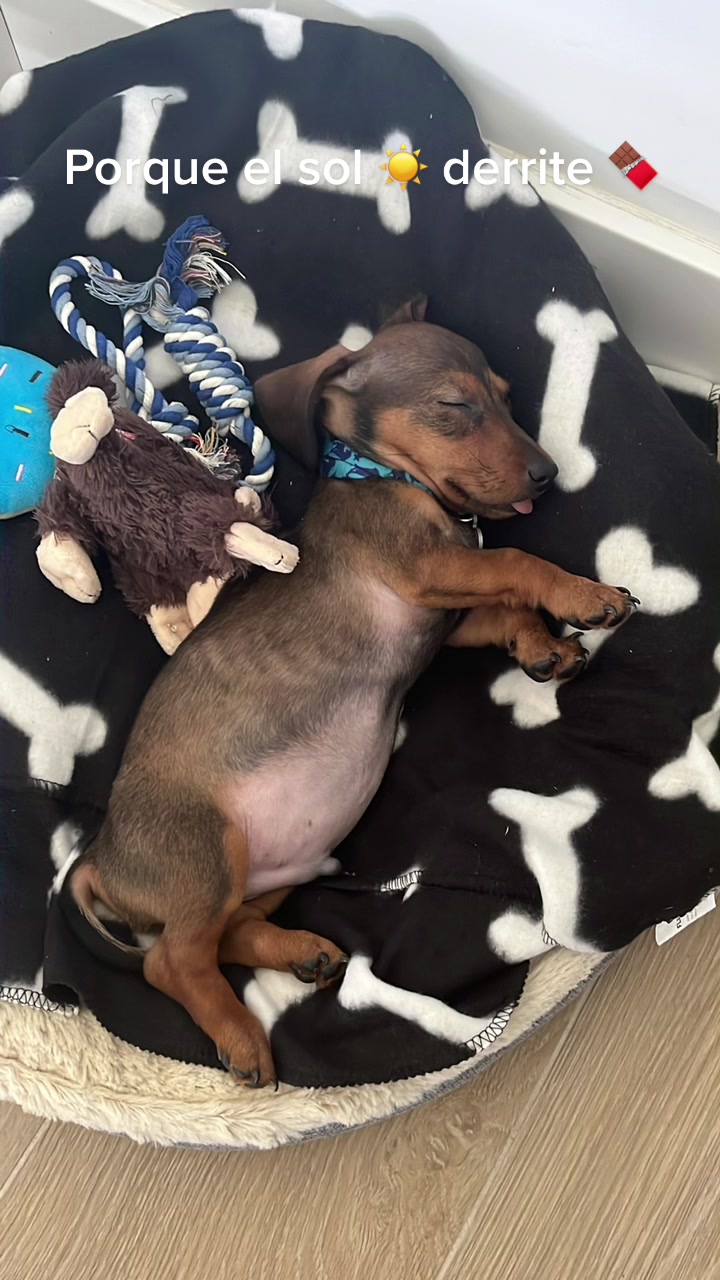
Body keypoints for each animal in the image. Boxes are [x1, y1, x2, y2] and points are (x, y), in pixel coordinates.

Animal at [70, 296, 637, 1087]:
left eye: (505, 396)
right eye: (455, 406)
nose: (548, 473)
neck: (388, 481)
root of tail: (98, 857)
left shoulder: (448, 613)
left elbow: (505, 604)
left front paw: (543, 646)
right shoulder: (424, 569)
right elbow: (518, 562)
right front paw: (586, 596)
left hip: (277, 870)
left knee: (229, 934)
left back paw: (299, 952)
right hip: (207, 856)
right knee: (170, 962)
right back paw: (242, 1039)